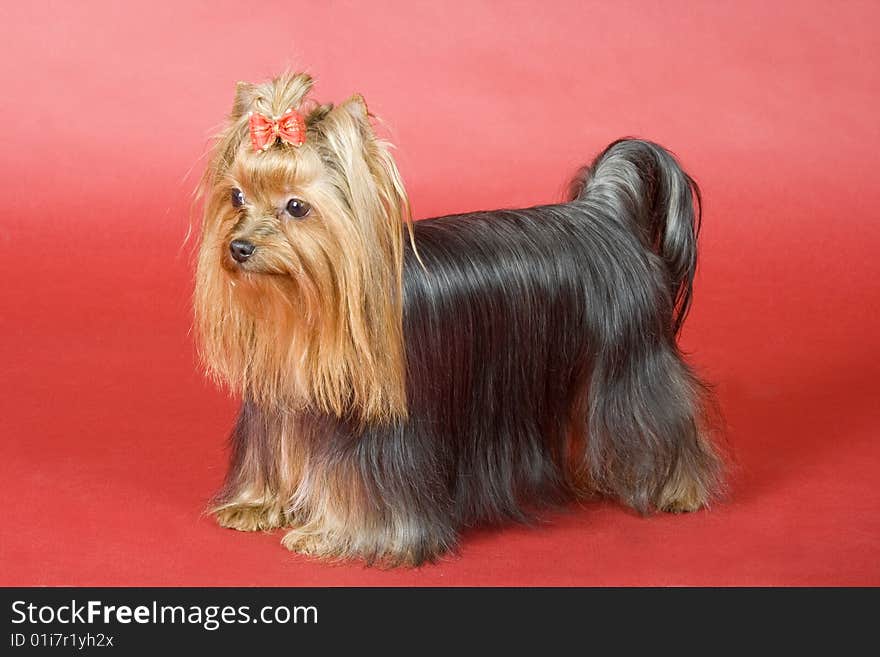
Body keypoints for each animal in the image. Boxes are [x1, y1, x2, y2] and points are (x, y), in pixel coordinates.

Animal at [192, 72, 720, 564]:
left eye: (297, 206)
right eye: (237, 197)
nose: (239, 247)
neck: (307, 310)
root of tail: (604, 213)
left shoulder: (383, 437)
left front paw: (334, 534)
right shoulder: (284, 405)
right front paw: (258, 505)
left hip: (629, 362)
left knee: (656, 414)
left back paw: (680, 489)